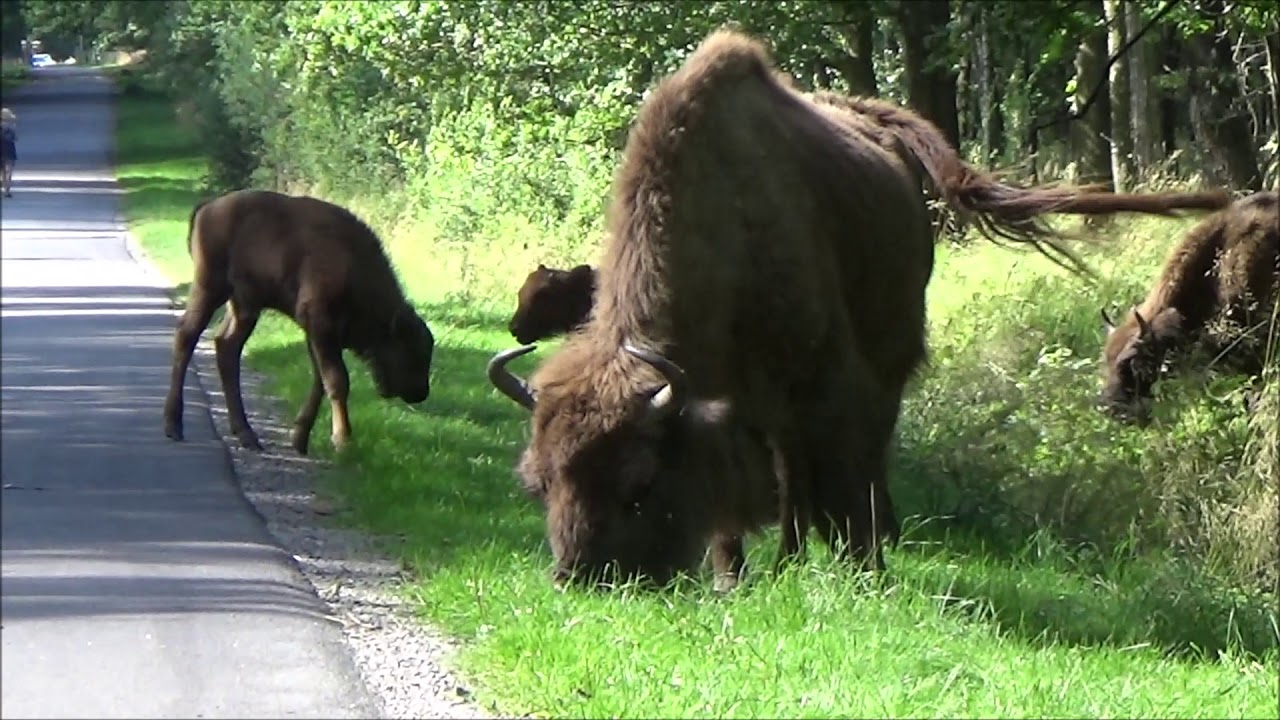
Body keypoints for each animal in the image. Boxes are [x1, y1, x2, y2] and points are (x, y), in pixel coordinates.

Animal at [163, 189, 435, 455]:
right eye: (412, 351)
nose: (420, 393)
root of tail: (207, 207)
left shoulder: (317, 333)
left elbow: (320, 381)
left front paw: (300, 439)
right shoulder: (320, 324)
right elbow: (337, 380)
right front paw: (342, 440)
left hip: (245, 306)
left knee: (226, 346)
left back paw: (247, 435)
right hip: (210, 288)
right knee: (187, 335)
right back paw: (174, 426)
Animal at [489, 29, 1233, 591]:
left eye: (639, 482)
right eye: (539, 484)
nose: (580, 576)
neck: (725, 224)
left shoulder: (825, 380)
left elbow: (838, 470)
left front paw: (860, 569)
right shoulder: (728, 397)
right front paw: (733, 575)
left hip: (889, 355)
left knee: (865, 452)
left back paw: (864, 544)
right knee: (796, 472)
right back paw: (791, 557)